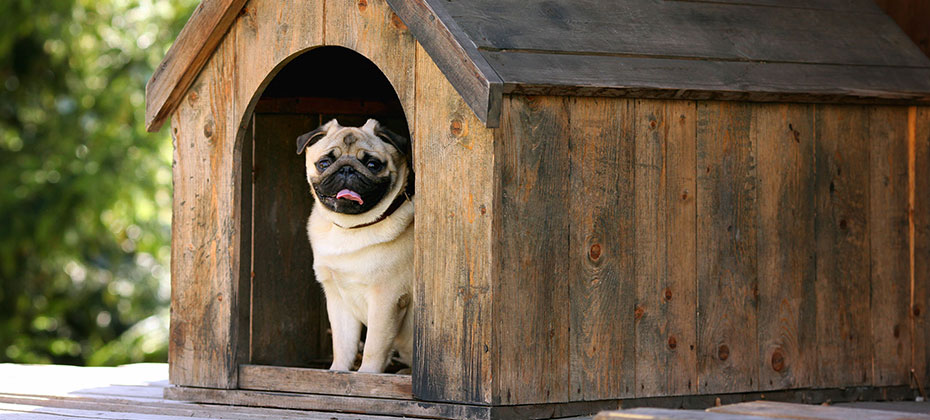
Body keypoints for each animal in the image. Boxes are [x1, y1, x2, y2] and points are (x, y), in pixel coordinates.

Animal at [298, 118, 414, 374]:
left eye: (372, 164)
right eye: (324, 163)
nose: (347, 169)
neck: (350, 228)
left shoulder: (386, 299)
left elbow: (374, 346)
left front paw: (367, 376)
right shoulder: (338, 299)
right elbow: (343, 345)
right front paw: (338, 372)